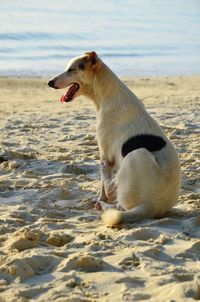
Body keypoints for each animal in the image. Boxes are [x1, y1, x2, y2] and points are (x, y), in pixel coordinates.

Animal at [48, 52, 181, 225]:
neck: (107, 95)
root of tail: (150, 207)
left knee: (111, 188)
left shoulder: (105, 152)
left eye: (71, 69)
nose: (49, 82)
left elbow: (103, 186)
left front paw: (101, 197)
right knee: (117, 202)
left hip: (137, 154)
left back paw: (104, 197)